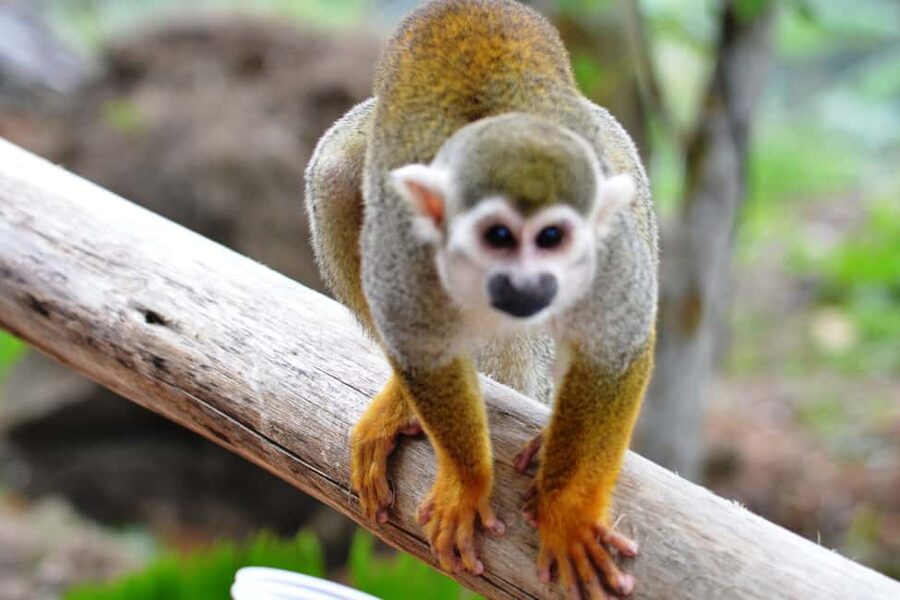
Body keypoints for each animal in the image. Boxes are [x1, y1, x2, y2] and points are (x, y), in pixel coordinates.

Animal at [304, 1, 657, 598]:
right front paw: (466, 483)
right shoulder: (409, 234)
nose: (527, 285)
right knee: (335, 172)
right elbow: (418, 341)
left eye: (554, 238)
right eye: (497, 237)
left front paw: (566, 509)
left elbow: (615, 342)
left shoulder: (600, 229)